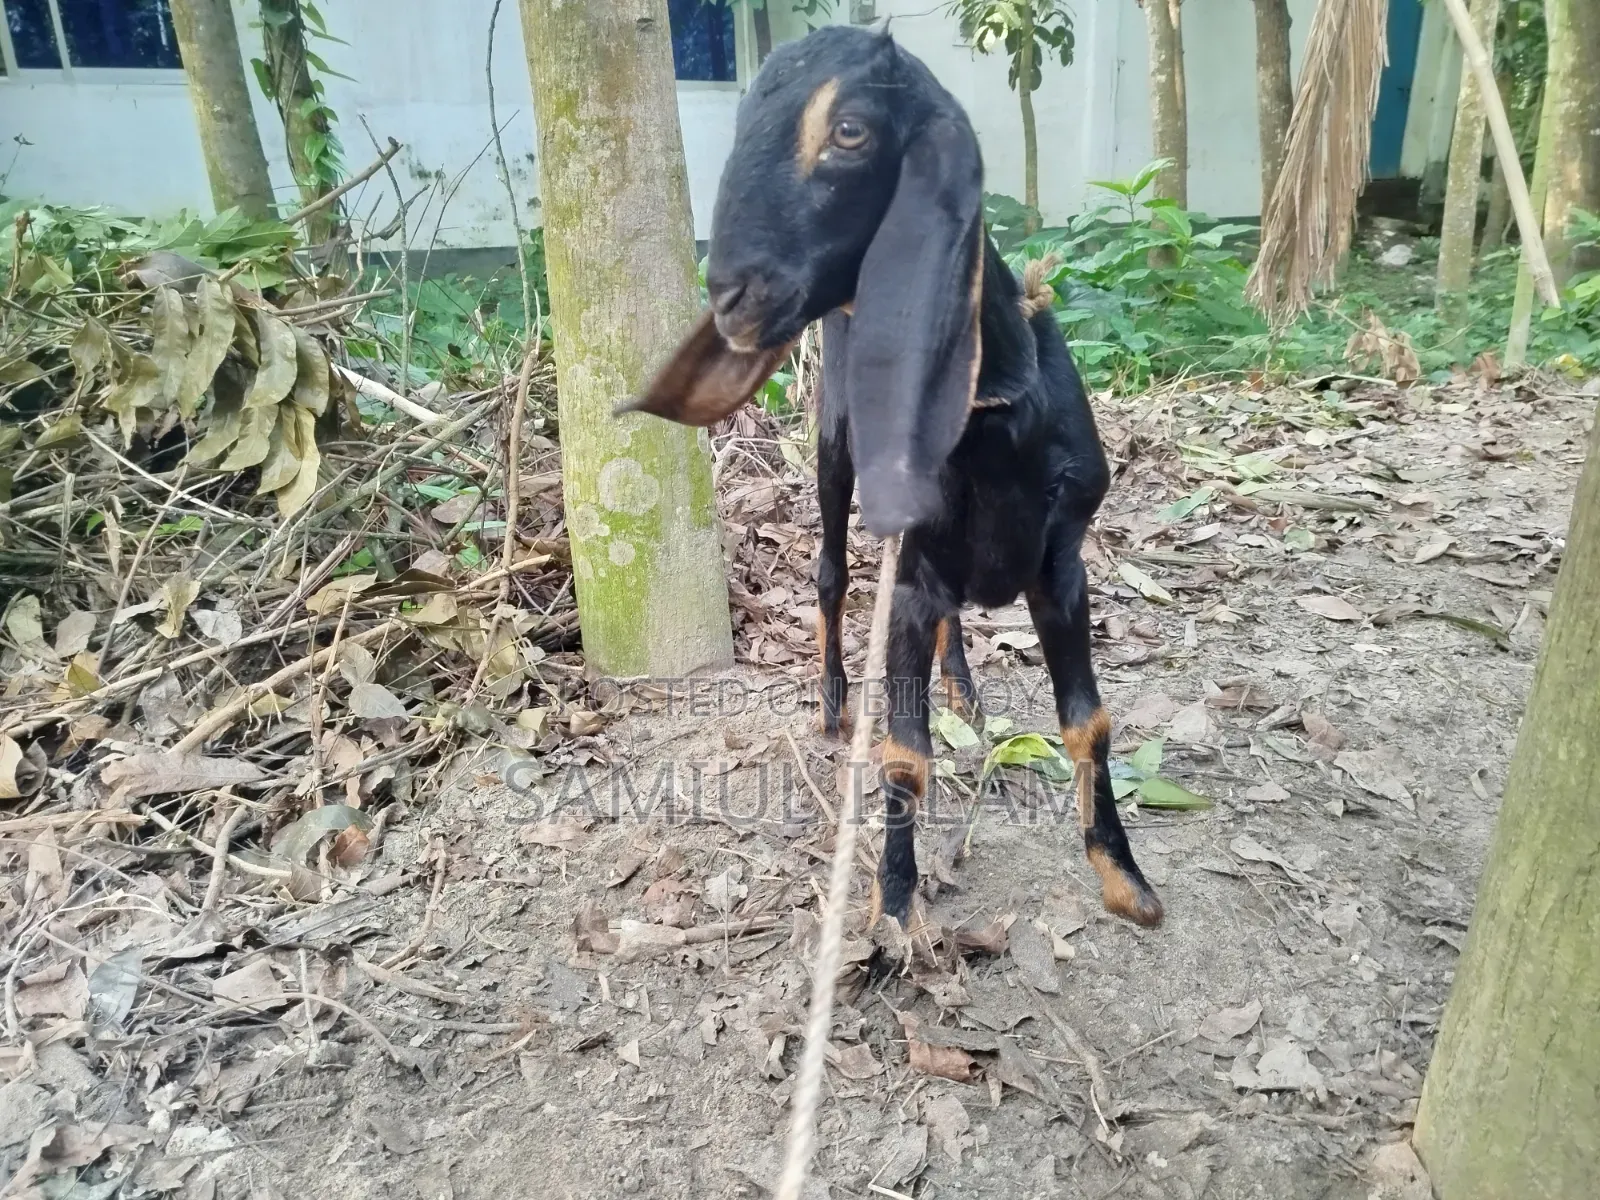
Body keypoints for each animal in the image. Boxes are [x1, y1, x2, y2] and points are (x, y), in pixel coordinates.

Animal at [620, 24, 1163, 931]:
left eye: (850, 131)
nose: (729, 296)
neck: (991, 418)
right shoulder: (907, 578)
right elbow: (905, 754)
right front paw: (898, 904)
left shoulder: (1062, 563)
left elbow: (1090, 723)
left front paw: (1123, 873)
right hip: (834, 456)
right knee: (830, 575)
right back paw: (834, 700)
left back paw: (964, 688)